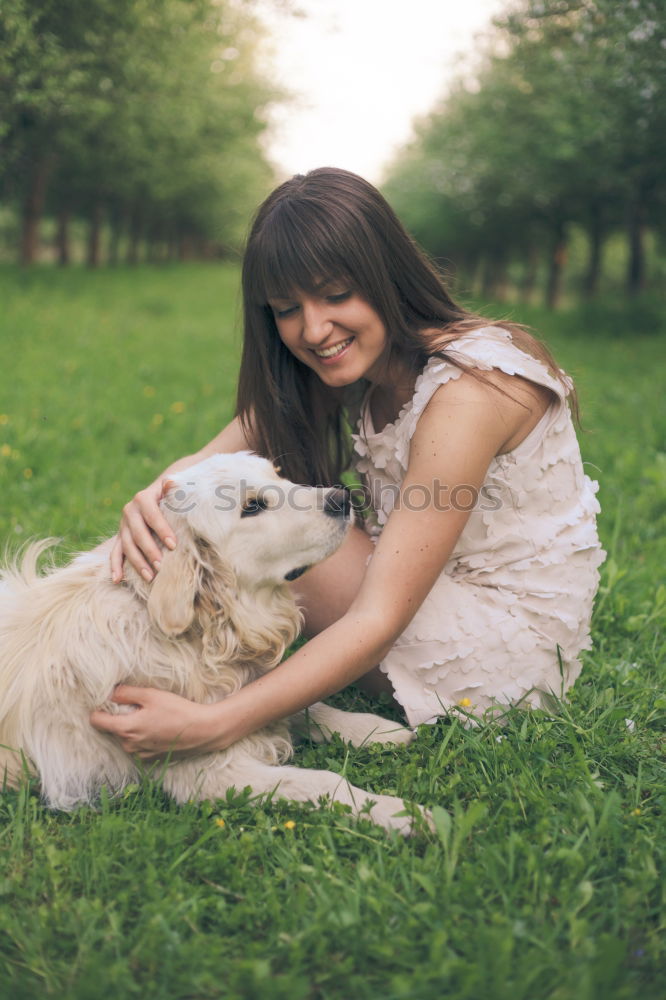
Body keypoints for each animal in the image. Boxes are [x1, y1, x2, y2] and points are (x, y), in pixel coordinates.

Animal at [0, 458, 418, 832]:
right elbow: (323, 780)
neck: (199, 634)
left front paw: (374, 730)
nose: (341, 498)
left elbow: (301, 703)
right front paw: (397, 813)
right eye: (252, 506)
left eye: (278, 474)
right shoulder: (204, 770)